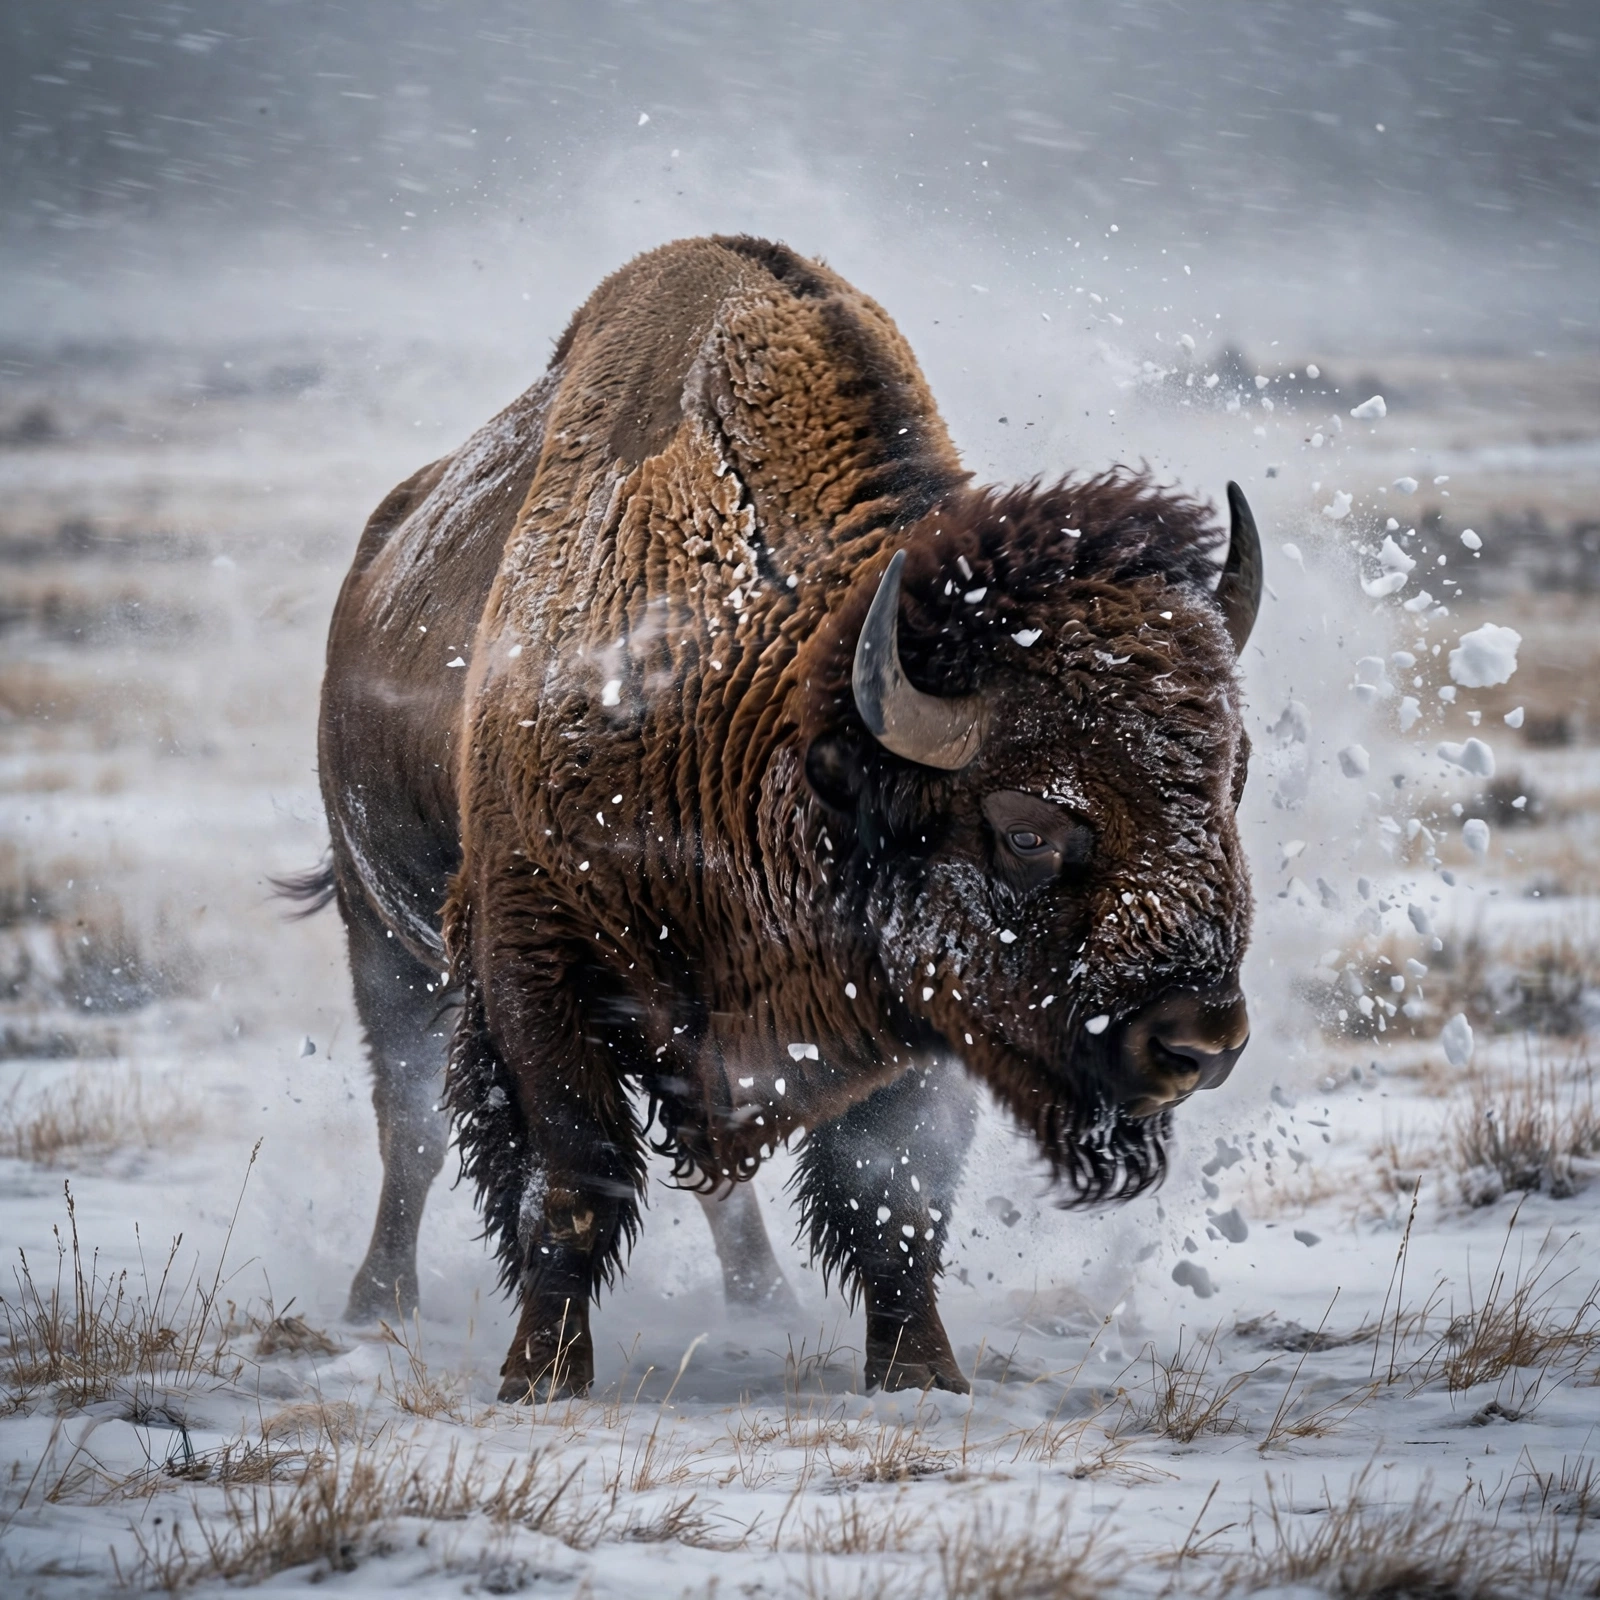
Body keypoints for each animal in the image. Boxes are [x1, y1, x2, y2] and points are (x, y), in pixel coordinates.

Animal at [285, 234, 1259, 1399]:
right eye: (1026, 829)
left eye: (1232, 781)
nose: (1200, 1040)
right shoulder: (534, 963)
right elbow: (572, 1182)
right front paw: (541, 1376)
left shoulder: (905, 1016)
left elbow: (893, 1198)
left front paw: (921, 1375)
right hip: (380, 932)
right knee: (411, 1126)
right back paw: (376, 1301)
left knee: (712, 1184)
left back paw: (761, 1299)